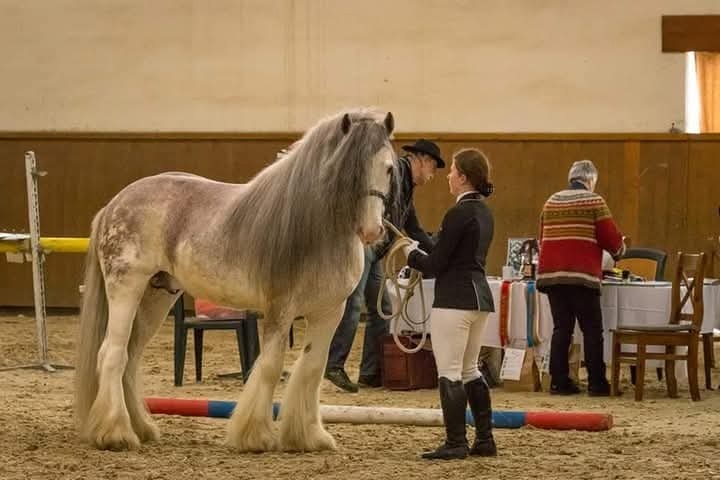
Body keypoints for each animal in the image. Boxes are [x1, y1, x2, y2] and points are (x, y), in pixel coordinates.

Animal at [75, 108, 397, 452]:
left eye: (389, 169)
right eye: (348, 173)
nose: (372, 231)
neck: (316, 230)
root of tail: (114, 204)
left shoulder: (328, 312)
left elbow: (311, 368)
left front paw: (309, 436)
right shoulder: (280, 309)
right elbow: (269, 367)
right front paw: (255, 436)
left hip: (156, 297)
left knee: (131, 358)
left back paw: (142, 428)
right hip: (126, 288)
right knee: (113, 354)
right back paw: (116, 433)